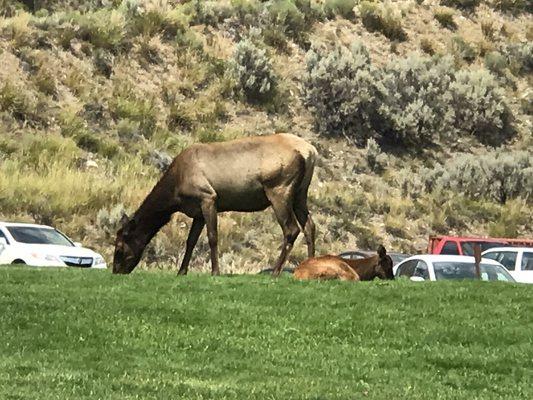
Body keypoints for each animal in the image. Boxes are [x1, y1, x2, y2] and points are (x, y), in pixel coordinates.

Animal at [112, 133, 316, 276]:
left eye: (119, 247)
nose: (116, 271)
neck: (175, 193)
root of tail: (310, 151)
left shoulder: (208, 197)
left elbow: (212, 237)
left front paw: (215, 272)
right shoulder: (197, 212)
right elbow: (191, 241)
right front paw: (181, 271)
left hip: (279, 189)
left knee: (291, 229)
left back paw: (275, 272)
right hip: (300, 193)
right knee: (309, 226)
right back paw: (312, 266)